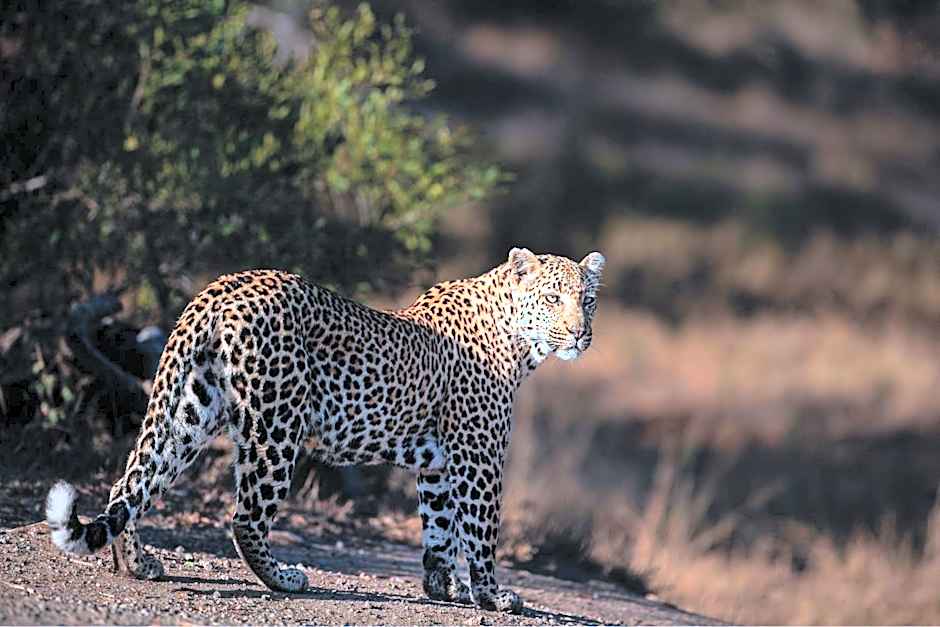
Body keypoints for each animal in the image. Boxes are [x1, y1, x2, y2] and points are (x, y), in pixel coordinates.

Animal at [45, 247, 605, 613]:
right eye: (553, 299)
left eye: (587, 301)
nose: (581, 333)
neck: (519, 340)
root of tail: (223, 286)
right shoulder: (478, 456)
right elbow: (481, 530)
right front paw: (492, 594)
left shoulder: (440, 462)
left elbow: (439, 527)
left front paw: (443, 587)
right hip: (276, 424)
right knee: (246, 516)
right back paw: (284, 578)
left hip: (189, 411)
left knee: (131, 483)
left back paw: (137, 563)